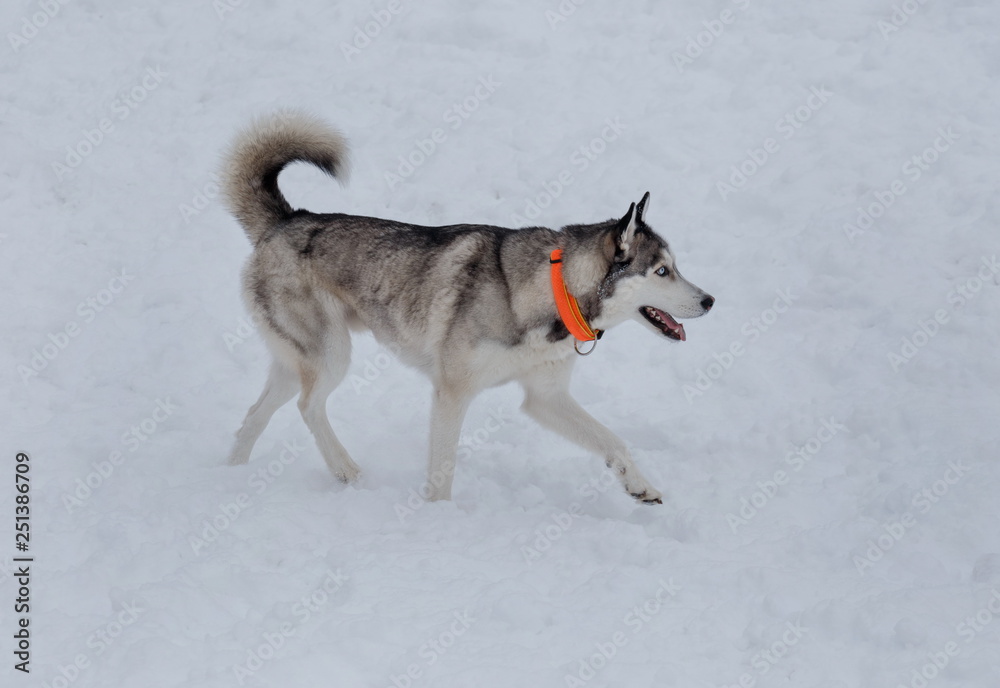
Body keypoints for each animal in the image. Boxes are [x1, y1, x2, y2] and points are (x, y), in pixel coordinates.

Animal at [223, 110, 716, 502]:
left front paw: (640, 487)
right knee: (308, 406)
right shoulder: (452, 392)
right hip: (330, 354)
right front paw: (438, 518)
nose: (710, 300)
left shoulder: (546, 397)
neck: (553, 291)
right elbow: (442, 472)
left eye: (675, 267)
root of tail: (288, 219)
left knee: (255, 415)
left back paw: (233, 473)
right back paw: (344, 469)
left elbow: (614, 441)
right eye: (662, 271)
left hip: (297, 360)